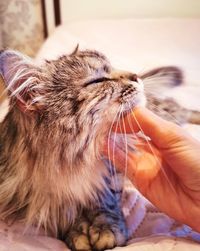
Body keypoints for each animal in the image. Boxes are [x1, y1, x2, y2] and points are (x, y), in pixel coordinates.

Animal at [0, 48, 199, 250]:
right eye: (97, 81)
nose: (135, 76)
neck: (74, 164)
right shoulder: (44, 196)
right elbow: (66, 212)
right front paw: (77, 231)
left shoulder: (110, 170)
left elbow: (106, 199)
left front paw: (106, 227)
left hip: (166, 112)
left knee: (181, 109)